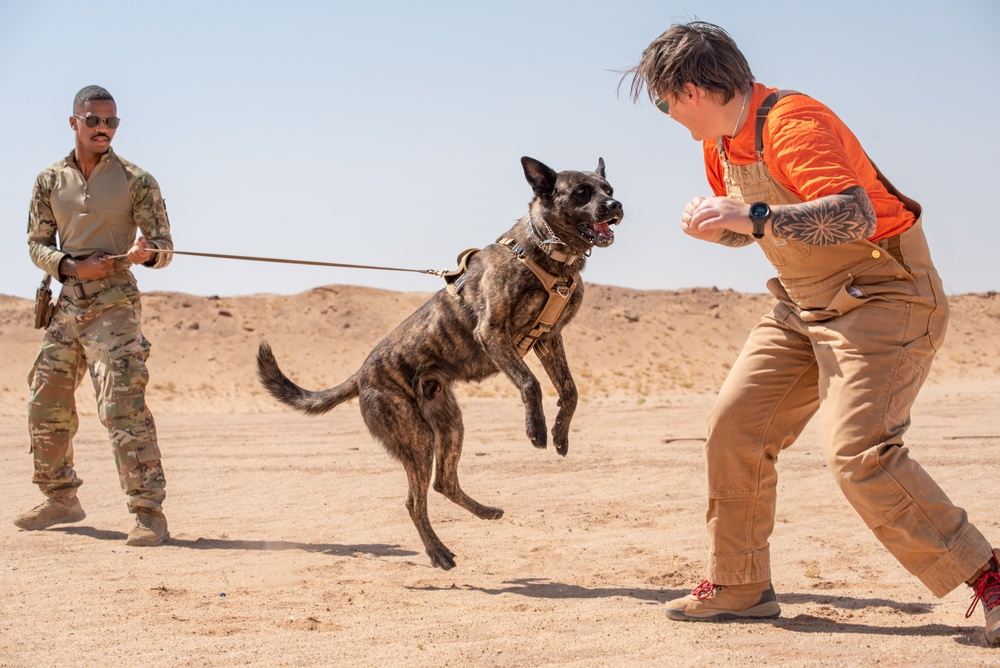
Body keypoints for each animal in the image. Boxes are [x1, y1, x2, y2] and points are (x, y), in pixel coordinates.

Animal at [254, 158, 620, 568]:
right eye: (582, 192)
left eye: (608, 188)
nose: (616, 206)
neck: (545, 252)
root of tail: (361, 375)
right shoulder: (493, 333)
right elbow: (531, 383)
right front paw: (537, 430)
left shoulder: (548, 338)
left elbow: (570, 391)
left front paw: (559, 435)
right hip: (415, 437)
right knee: (415, 500)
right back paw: (437, 551)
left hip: (448, 422)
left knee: (443, 482)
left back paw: (485, 512)